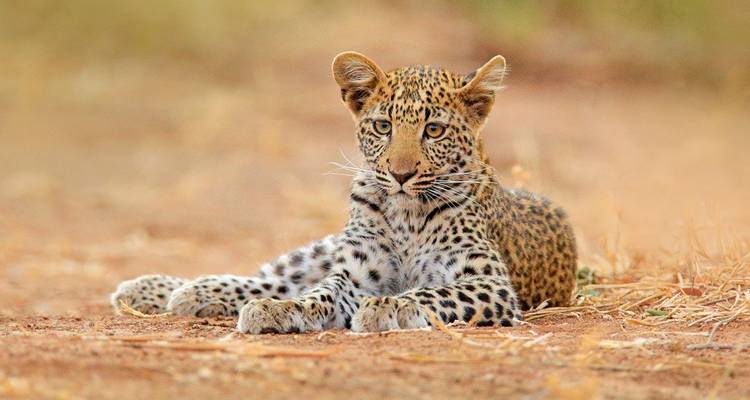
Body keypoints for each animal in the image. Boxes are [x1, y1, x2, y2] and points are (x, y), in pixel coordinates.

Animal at [110, 52, 577, 334]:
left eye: (434, 130)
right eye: (383, 126)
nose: (401, 174)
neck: (406, 215)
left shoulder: (490, 283)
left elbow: (434, 292)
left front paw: (389, 307)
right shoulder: (354, 273)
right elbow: (319, 293)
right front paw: (282, 312)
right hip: (320, 250)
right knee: (275, 278)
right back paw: (167, 289)